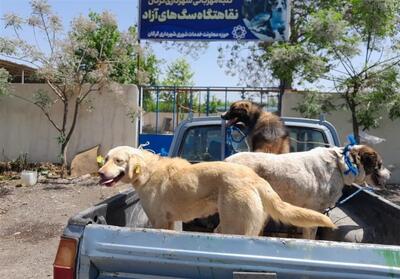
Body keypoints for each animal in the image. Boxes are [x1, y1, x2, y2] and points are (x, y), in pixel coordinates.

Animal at [98, 148, 336, 237]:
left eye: (118, 161)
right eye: (106, 159)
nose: (99, 173)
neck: (147, 171)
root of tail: (254, 178)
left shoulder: (159, 222)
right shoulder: (170, 221)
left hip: (234, 226)